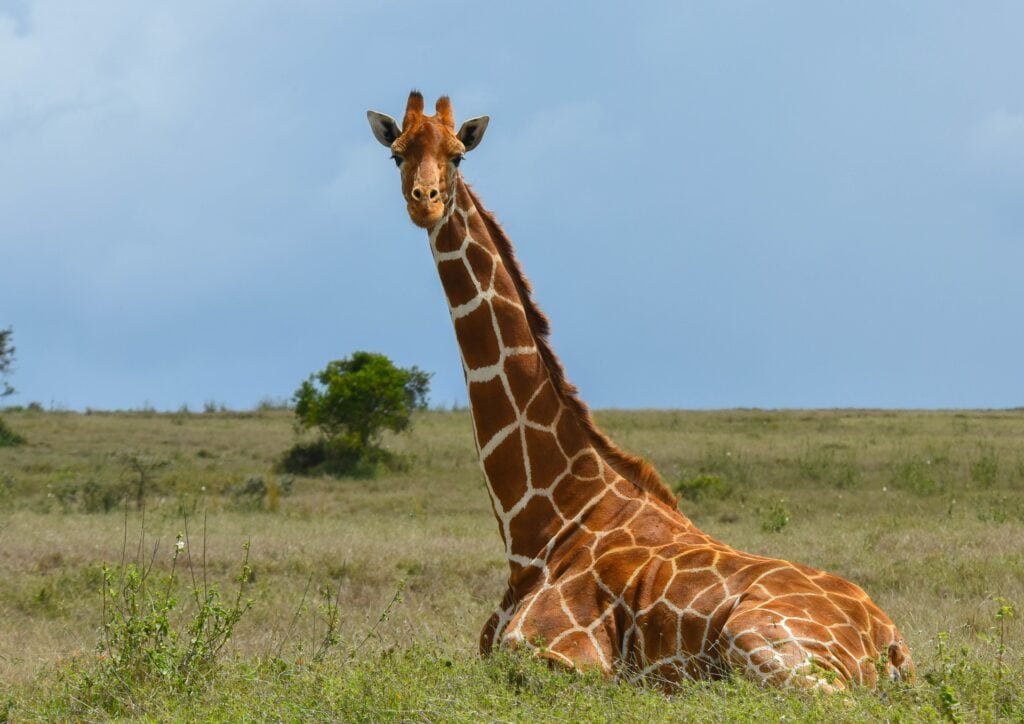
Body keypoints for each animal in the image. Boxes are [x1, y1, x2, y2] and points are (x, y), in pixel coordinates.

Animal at [366, 92, 914, 691]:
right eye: (396, 154)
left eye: (458, 156)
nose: (425, 203)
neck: (545, 522)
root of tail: (890, 641)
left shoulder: (565, 656)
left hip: (767, 648)